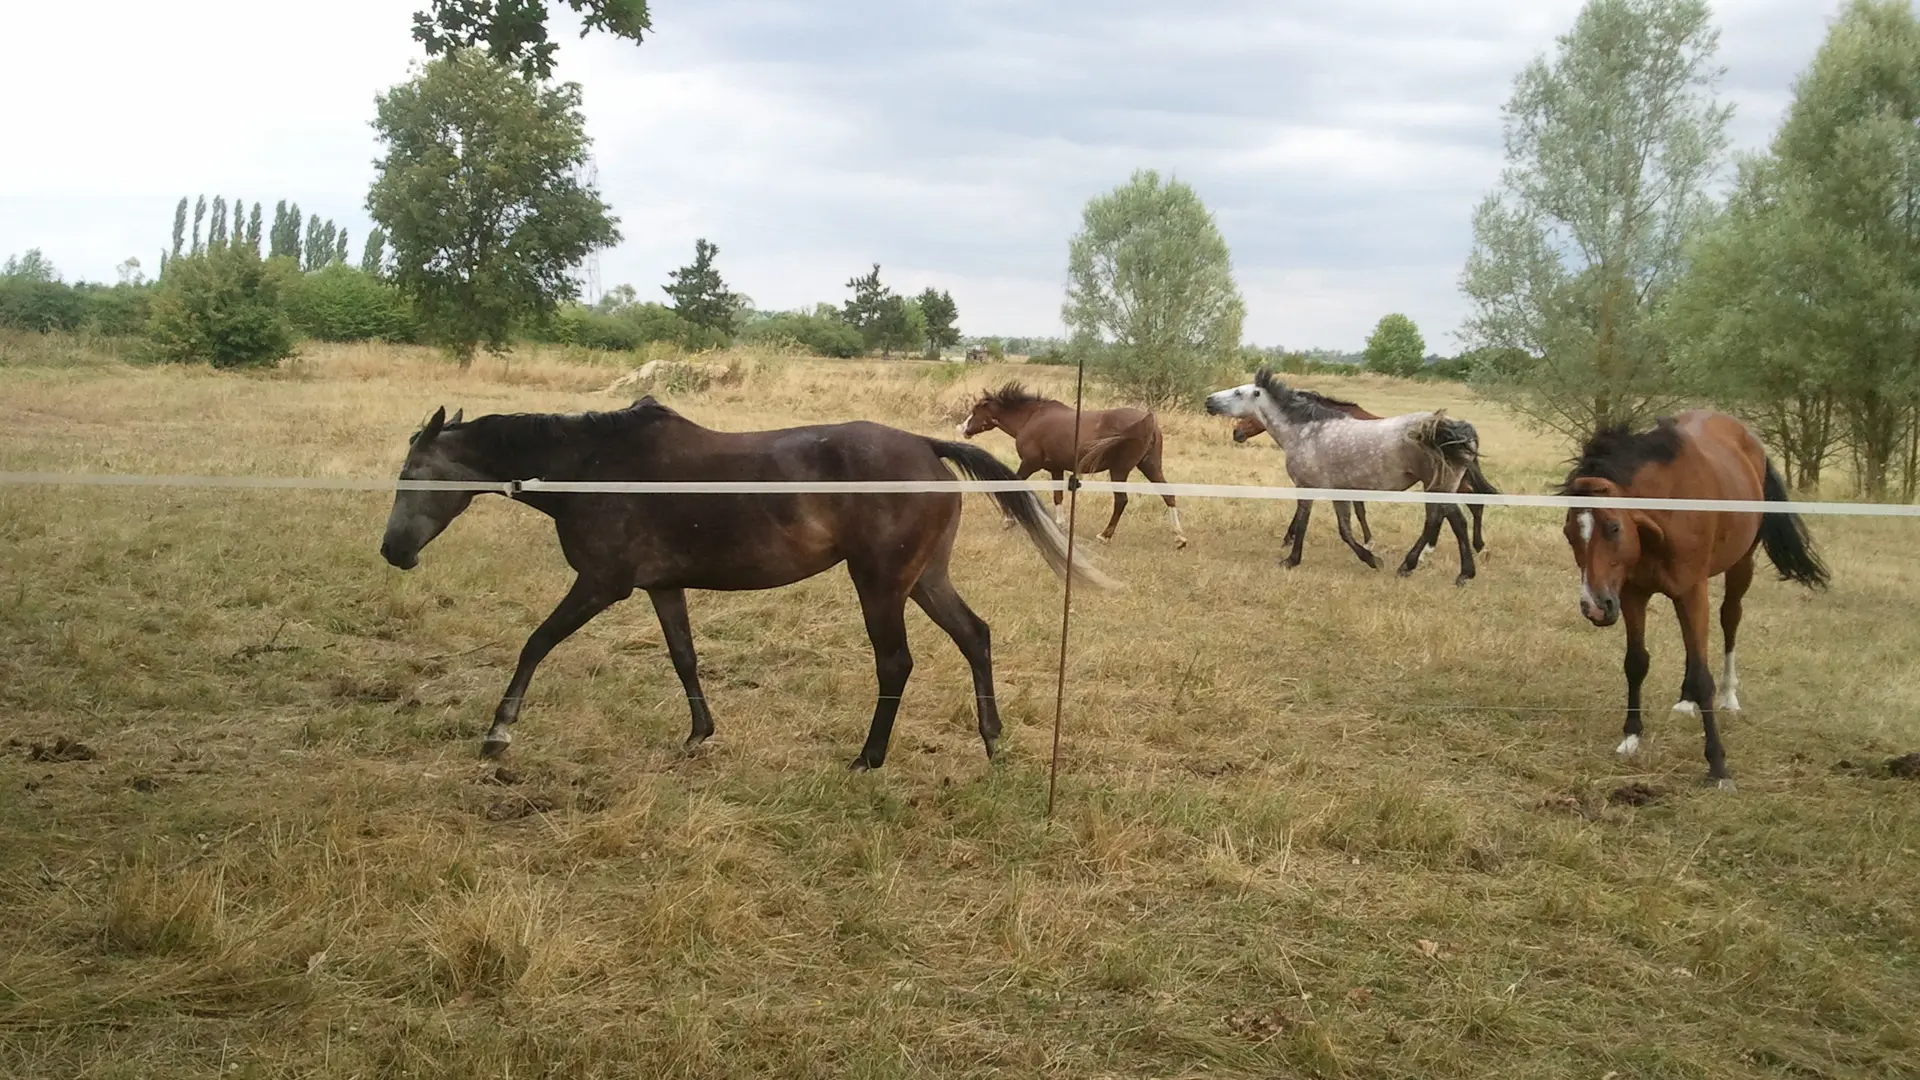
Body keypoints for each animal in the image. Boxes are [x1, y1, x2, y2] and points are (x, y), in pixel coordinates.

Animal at [380, 399, 1121, 768]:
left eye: (412, 474)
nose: (392, 551)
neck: (592, 468)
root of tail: (923, 446)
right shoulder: (661, 586)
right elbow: (683, 657)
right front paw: (698, 735)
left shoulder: (601, 583)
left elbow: (535, 643)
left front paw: (498, 733)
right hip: (924, 579)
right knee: (976, 637)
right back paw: (993, 742)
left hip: (880, 583)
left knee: (895, 662)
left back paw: (869, 758)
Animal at [960, 380, 1182, 545]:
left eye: (975, 410)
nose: (963, 429)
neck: (1031, 418)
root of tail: (1148, 419)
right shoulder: (1056, 468)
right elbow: (1058, 496)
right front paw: (1060, 524)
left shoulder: (1030, 463)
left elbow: (1011, 486)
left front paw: (1008, 519)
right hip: (1150, 466)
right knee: (1168, 494)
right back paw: (1179, 536)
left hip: (1119, 470)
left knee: (1121, 500)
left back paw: (1105, 536)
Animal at [1228, 390, 1497, 549]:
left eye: (1253, 415)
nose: (1236, 433)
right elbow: (1358, 511)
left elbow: (1356, 511)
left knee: (1470, 504)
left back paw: (1472, 546)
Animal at [1559, 407, 1827, 787]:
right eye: (1569, 534)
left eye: (1613, 527)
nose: (1595, 607)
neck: (1665, 512)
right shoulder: (1632, 593)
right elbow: (1636, 662)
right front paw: (1631, 737)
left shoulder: (1690, 591)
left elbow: (1704, 677)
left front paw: (1717, 766)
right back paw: (1685, 701)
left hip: (1739, 567)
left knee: (1730, 619)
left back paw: (1730, 695)